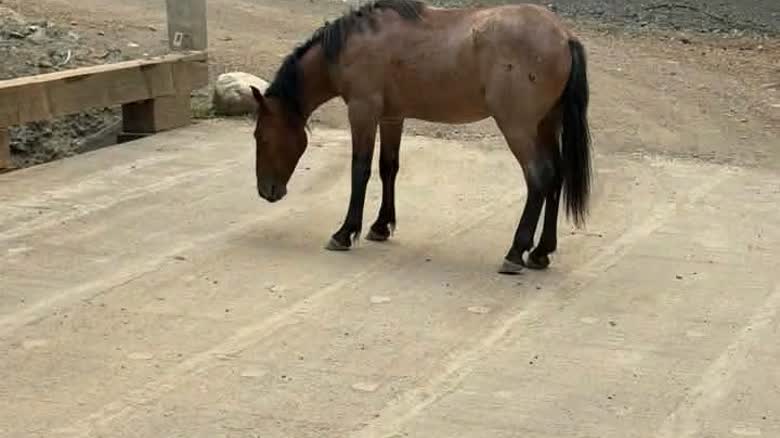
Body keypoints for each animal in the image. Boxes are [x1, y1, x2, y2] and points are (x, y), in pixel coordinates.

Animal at [250, 0, 591, 274]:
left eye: (261, 136)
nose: (267, 191)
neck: (355, 43)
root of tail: (565, 37)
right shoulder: (391, 117)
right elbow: (388, 167)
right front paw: (381, 226)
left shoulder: (362, 112)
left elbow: (360, 170)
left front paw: (345, 232)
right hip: (546, 125)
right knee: (556, 177)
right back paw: (541, 252)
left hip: (518, 128)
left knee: (539, 177)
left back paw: (516, 252)